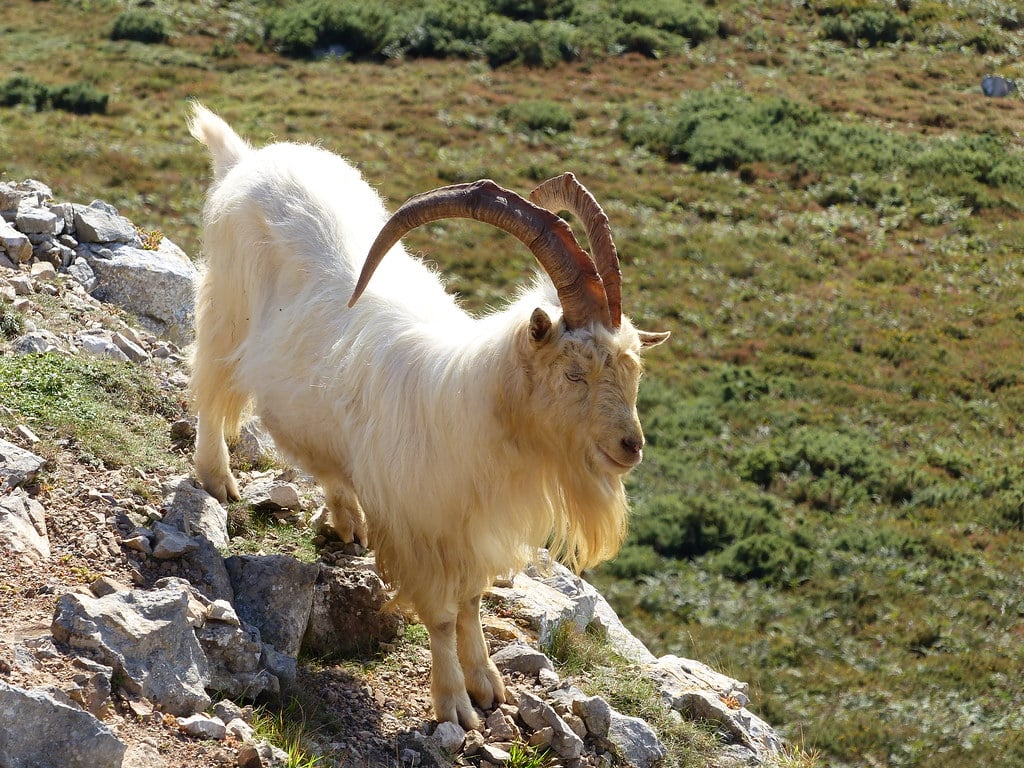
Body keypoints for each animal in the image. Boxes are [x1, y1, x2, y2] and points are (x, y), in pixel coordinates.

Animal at [187, 102, 669, 728]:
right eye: (574, 373)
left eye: (633, 371)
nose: (630, 446)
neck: (472, 405)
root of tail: (245, 159)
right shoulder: (421, 528)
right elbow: (441, 614)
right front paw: (454, 705)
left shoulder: (471, 528)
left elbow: (471, 603)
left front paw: (488, 684)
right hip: (224, 309)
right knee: (208, 385)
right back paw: (216, 477)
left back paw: (346, 518)